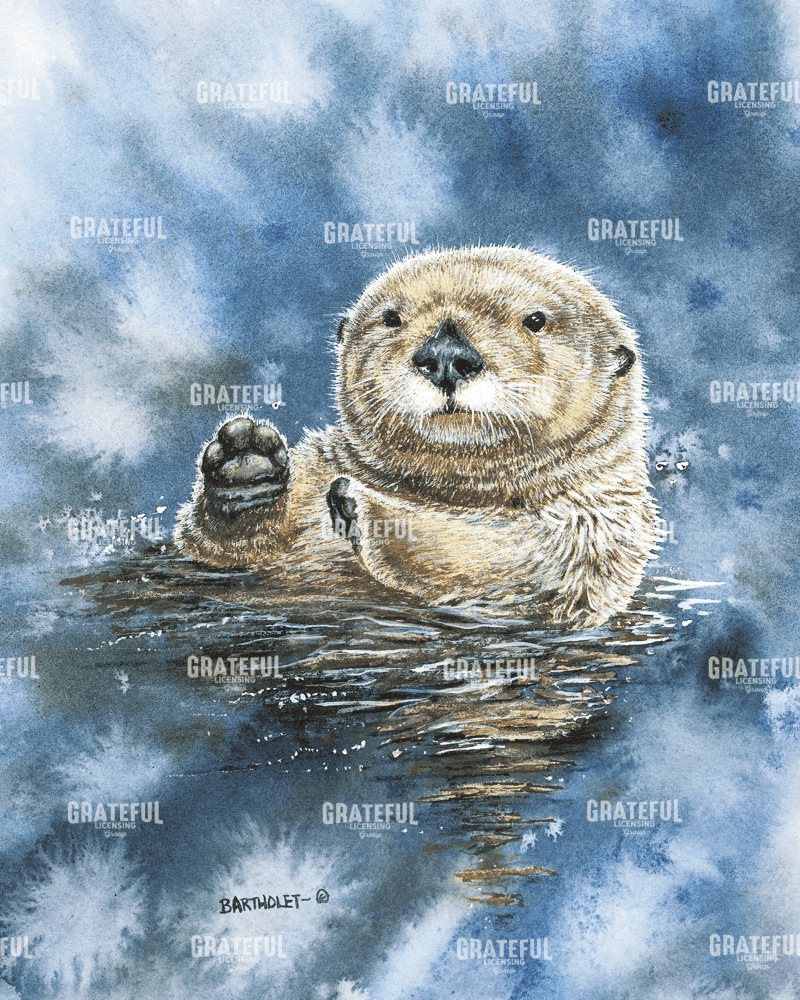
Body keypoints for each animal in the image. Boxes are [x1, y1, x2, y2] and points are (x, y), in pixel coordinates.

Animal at [176, 246, 659, 628]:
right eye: (391, 318)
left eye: (536, 320)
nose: (445, 354)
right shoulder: (320, 467)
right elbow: (220, 551)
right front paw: (246, 464)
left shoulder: (600, 524)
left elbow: (500, 556)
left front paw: (368, 508)